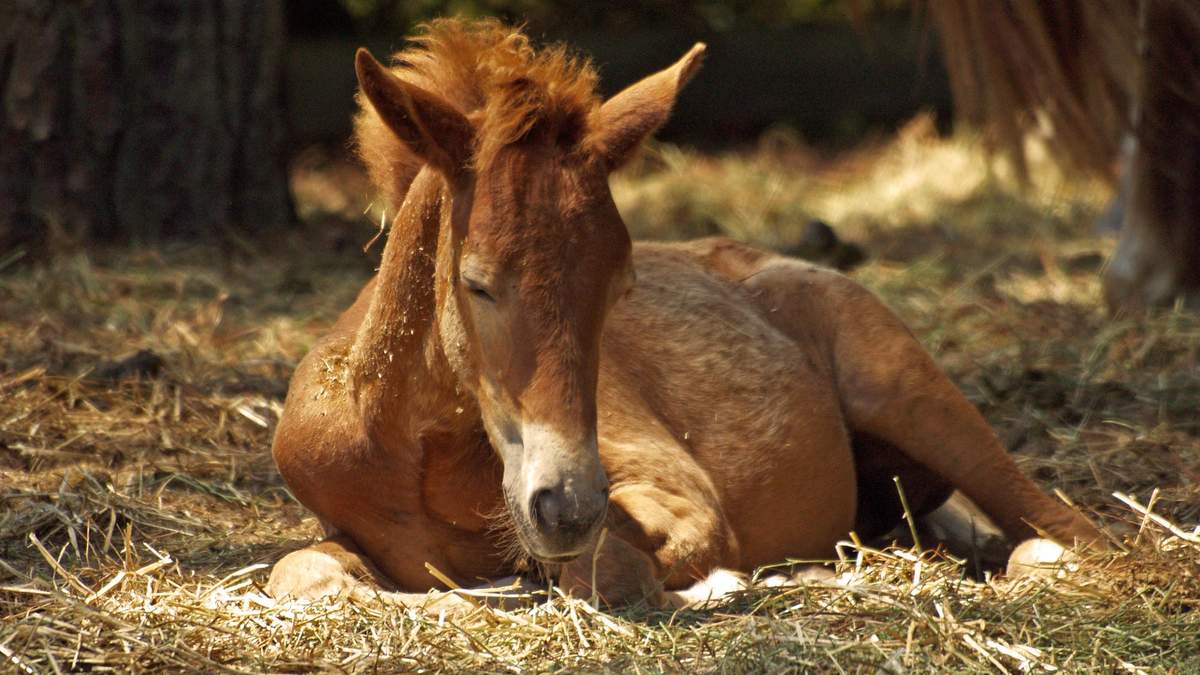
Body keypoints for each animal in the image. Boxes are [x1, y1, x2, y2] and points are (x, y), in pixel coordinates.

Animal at [270, 18, 1104, 607]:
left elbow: (609, 570)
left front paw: (720, 581)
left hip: (911, 393)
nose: (566, 505)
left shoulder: (678, 496)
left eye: (620, 283)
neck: (413, 454)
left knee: (1070, 531)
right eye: (475, 283)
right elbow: (301, 573)